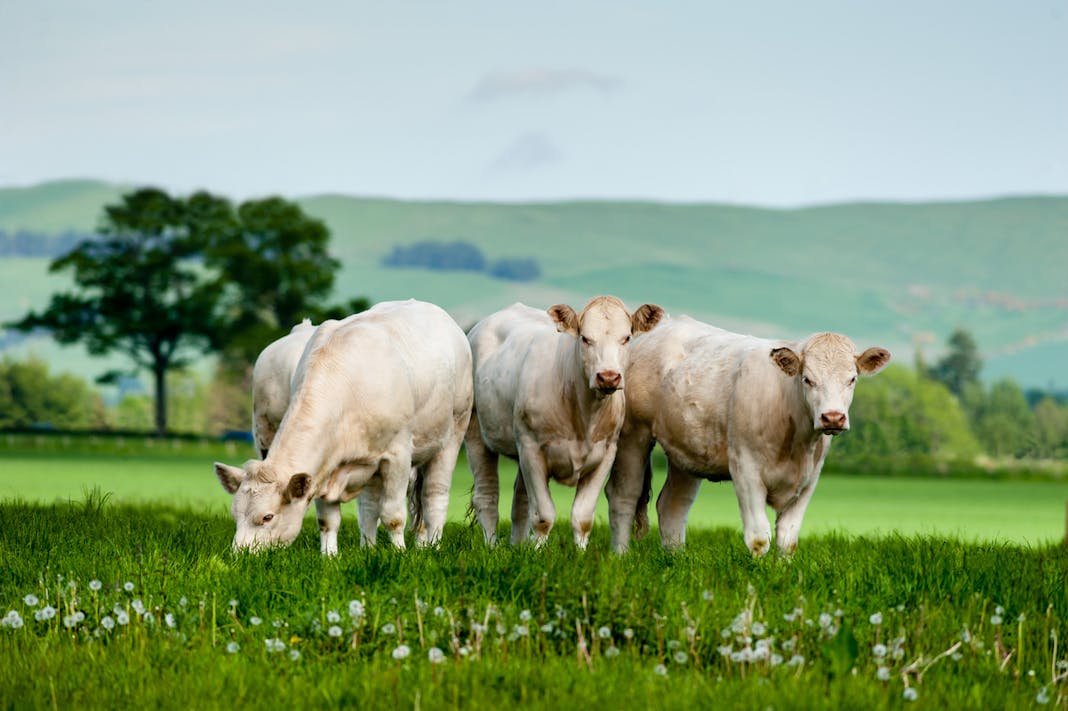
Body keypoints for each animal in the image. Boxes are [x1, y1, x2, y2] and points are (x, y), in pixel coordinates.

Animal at [212, 298, 472, 555]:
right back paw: (368, 548)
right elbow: (328, 520)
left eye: (267, 517)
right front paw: (329, 557)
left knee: (434, 497)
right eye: (235, 515)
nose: (240, 555)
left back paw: (433, 546)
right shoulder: (325, 464)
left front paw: (399, 553)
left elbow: (393, 516)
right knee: (370, 507)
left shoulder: (398, 455)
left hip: (453, 434)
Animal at [465, 296, 657, 544]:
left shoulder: (606, 453)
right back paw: (491, 547)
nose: (608, 377)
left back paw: (516, 546)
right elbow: (543, 516)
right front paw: (537, 551)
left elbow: (582, 518)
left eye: (626, 338)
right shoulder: (532, 449)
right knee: (487, 497)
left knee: (520, 502)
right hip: (476, 432)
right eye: (585, 338)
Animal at [606, 316, 888, 555]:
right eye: (807, 379)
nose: (832, 417)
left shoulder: (810, 478)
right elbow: (759, 537)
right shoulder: (746, 469)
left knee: (672, 506)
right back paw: (621, 556)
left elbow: (787, 540)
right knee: (624, 496)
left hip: (686, 452)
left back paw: (676, 560)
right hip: (633, 435)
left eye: (852, 379)